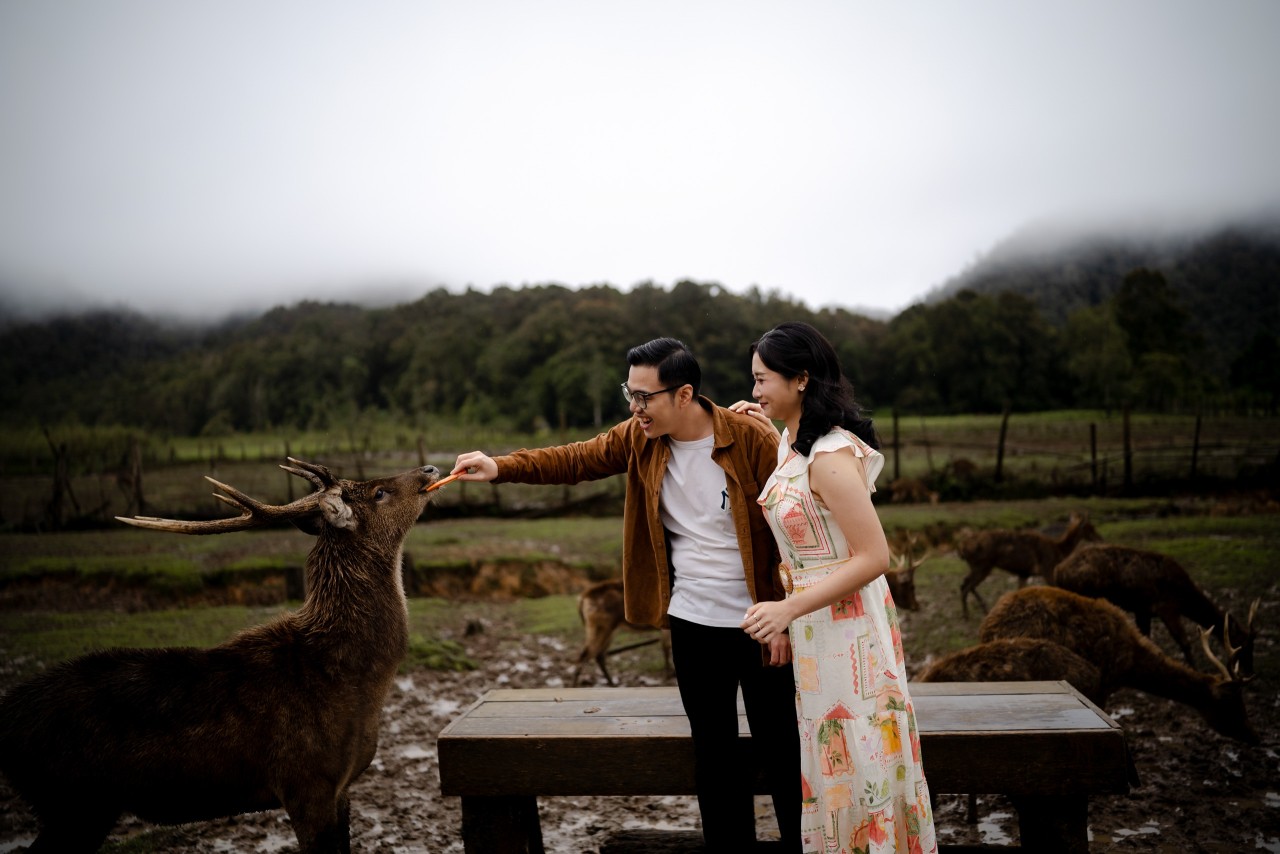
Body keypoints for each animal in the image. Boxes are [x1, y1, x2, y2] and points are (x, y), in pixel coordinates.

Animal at [0, 458, 444, 853]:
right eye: (379, 492)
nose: (430, 468)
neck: (354, 680)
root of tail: (8, 718)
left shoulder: (342, 787)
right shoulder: (304, 781)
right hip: (74, 800)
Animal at [955, 511, 1101, 618]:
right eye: (1090, 528)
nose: (1100, 538)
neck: (1057, 551)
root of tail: (961, 547)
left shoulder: (1024, 573)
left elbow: (1019, 592)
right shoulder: (1046, 567)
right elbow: (1056, 588)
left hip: (979, 565)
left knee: (965, 584)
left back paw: (980, 611)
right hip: (982, 564)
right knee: (966, 585)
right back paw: (968, 615)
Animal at [1050, 543, 1259, 677]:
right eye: (1242, 644)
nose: (1250, 670)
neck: (1184, 596)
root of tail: (1057, 570)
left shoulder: (1143, 610)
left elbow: (1147, 637)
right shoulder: (1167, 607)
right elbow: (1184, 641)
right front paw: (1196, 670)